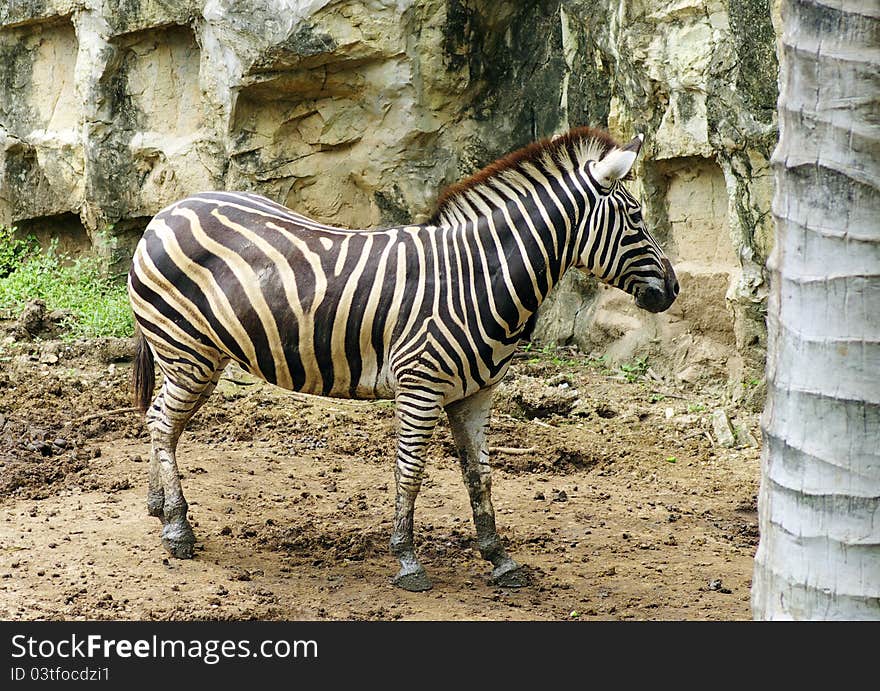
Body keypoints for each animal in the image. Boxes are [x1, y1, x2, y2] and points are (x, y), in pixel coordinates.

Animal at [129, 127, 680, 592]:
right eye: (635, 219)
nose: (674, 291)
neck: (475, 279)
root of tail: (167, 211)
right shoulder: (421, 387)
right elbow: (410, 471)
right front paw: (408, 559)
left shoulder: (476, 394)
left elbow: (480, 474)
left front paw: (499, 559)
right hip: (186, 350)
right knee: (161, 423)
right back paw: (178, 530)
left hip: (203, 355)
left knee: (163, 423)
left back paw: (159, 508)